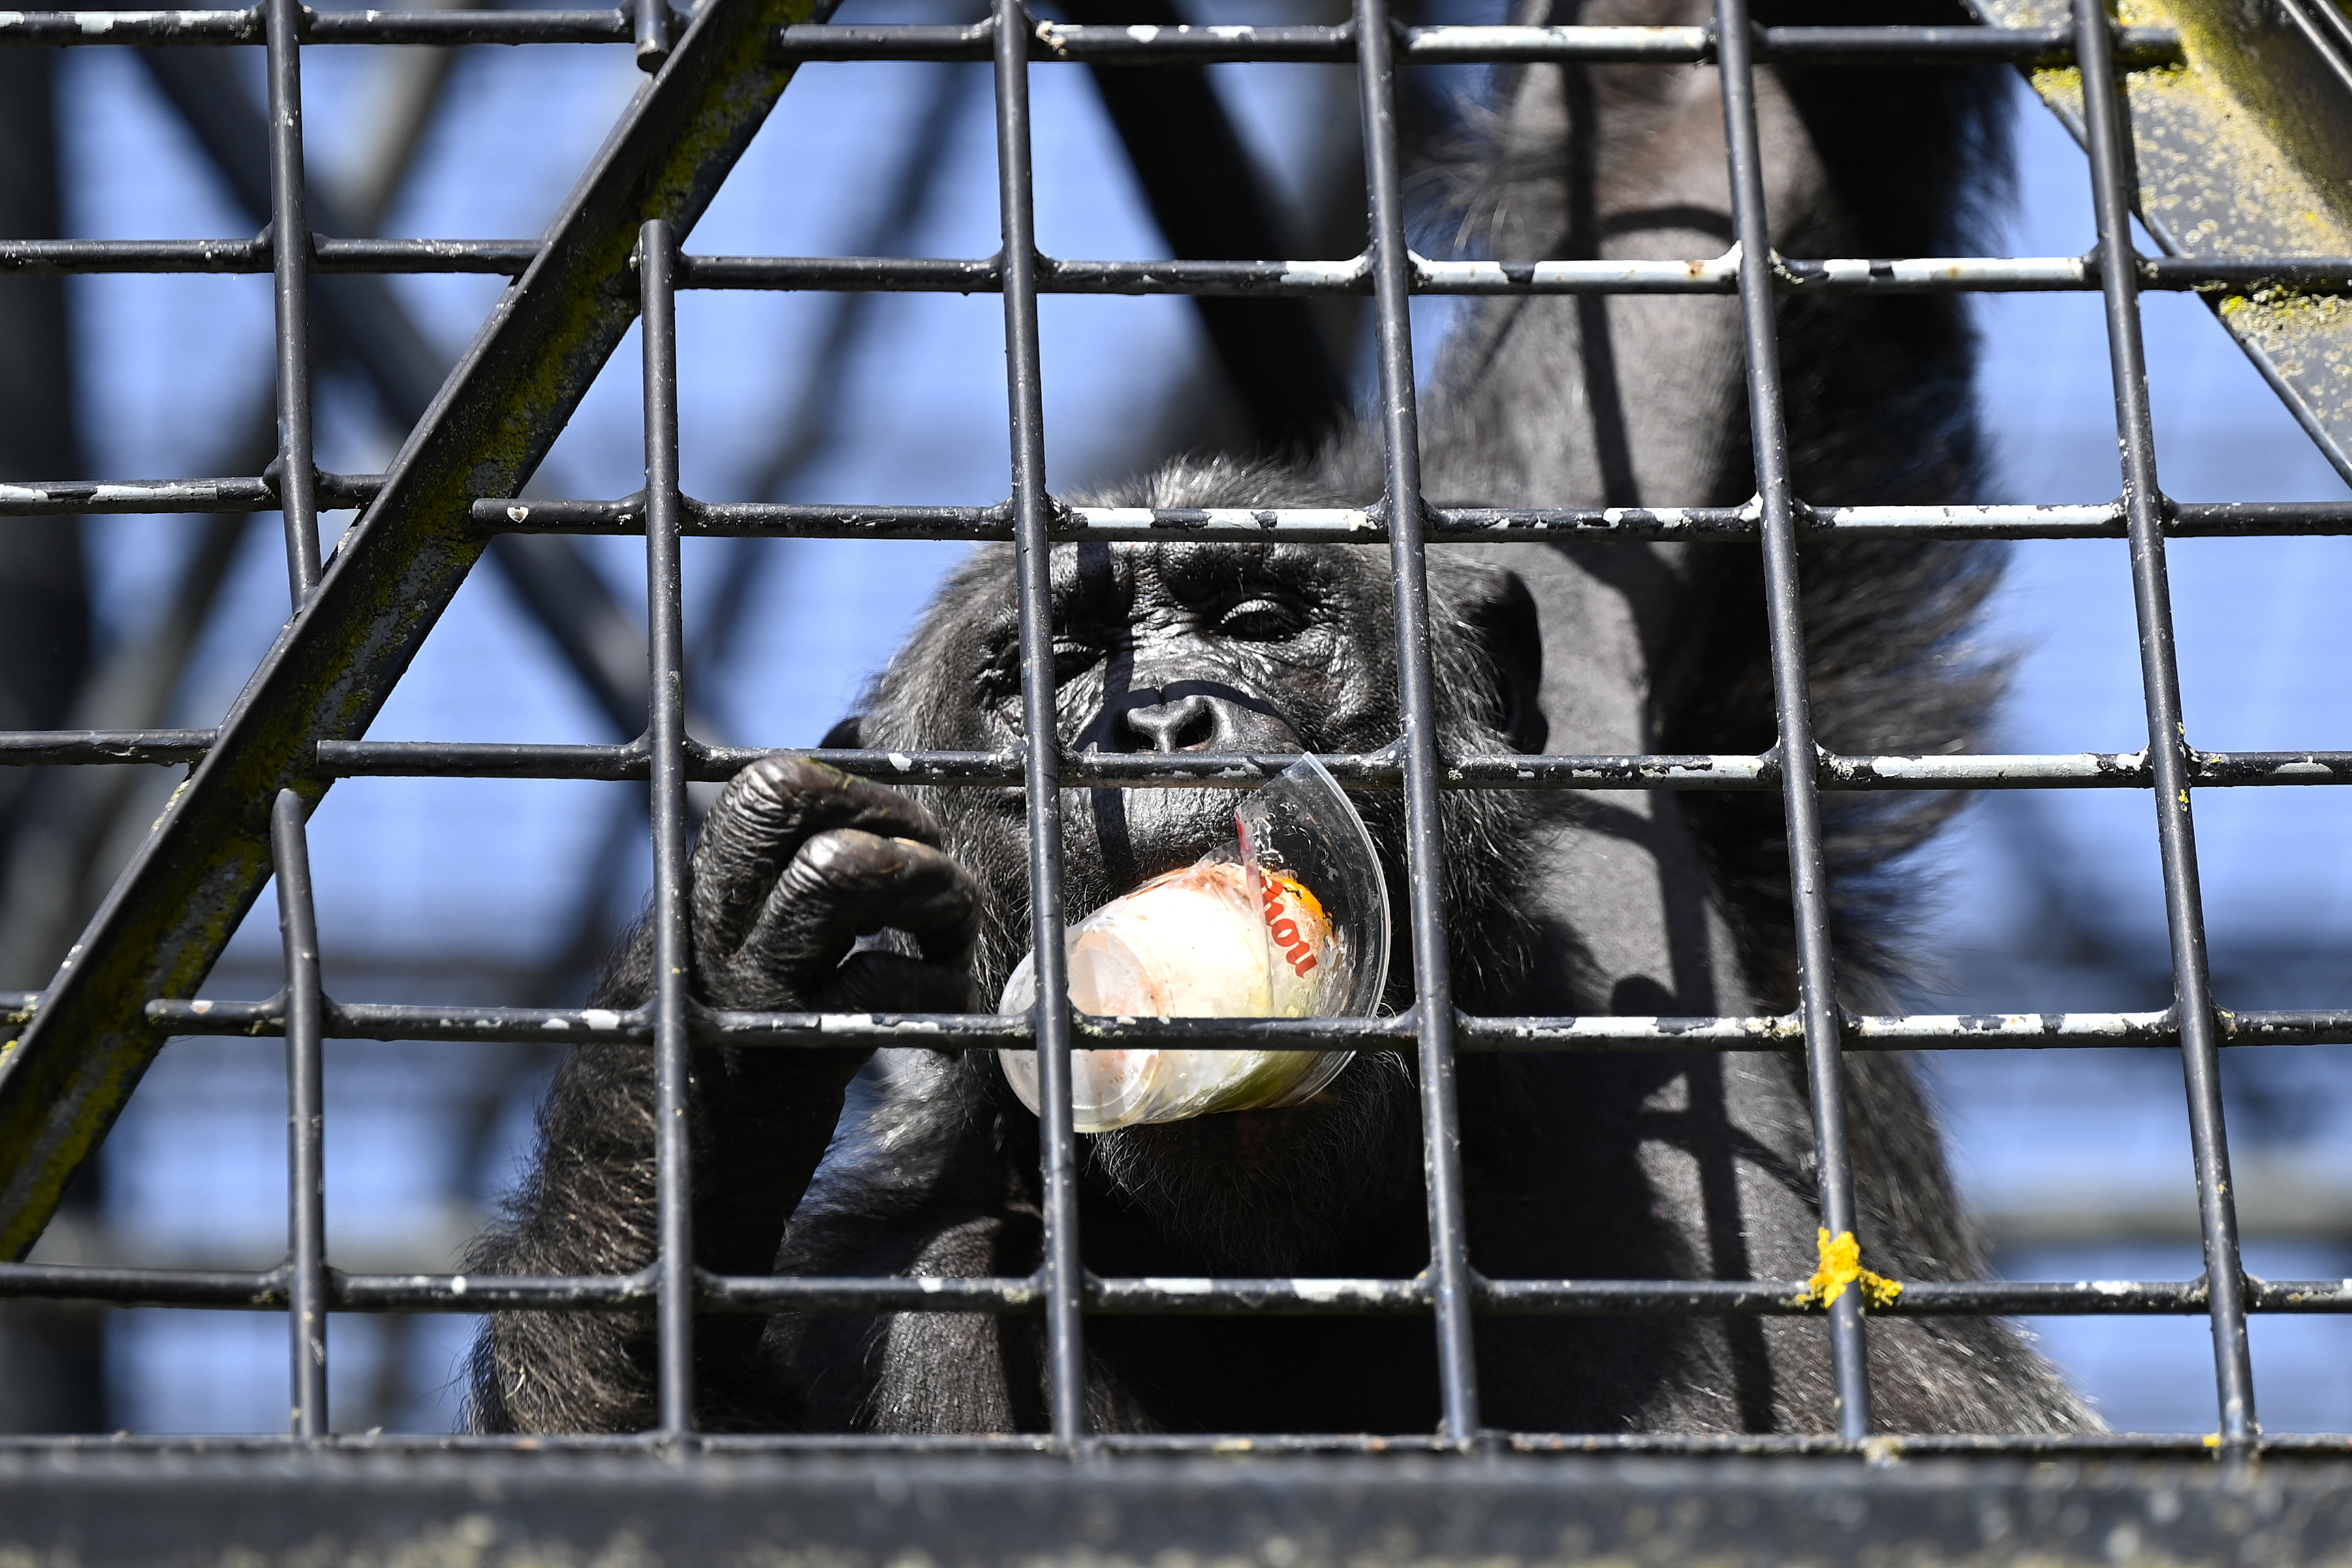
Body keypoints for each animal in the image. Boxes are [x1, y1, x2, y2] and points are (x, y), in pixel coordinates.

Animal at [458, 0, 2098, 1439]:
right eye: (1051, 668)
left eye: (1256, 621)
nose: (1161, 721)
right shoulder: (872, 1296)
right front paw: (705, 1032)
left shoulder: (1603, 640)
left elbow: (1688, 149)